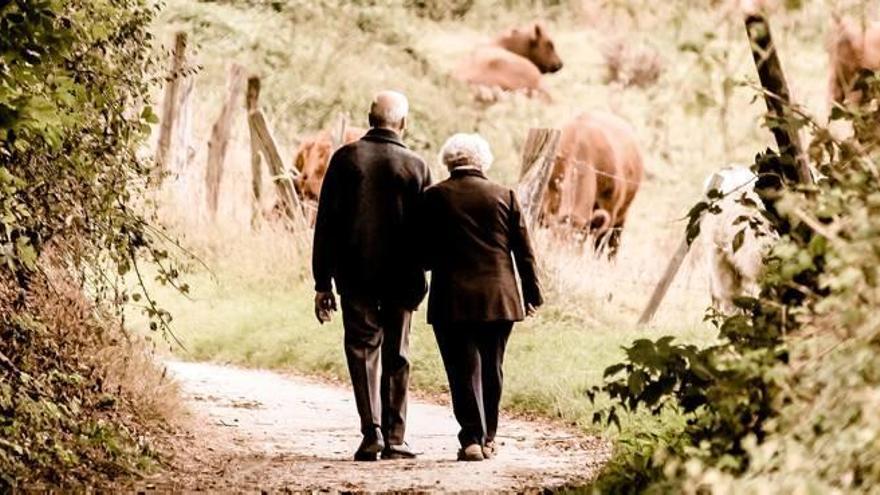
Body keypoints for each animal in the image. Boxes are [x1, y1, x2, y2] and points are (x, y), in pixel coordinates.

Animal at [540, 112, 644, 258]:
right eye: (552, 244)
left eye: (577, 246)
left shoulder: (610, 209)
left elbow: (599, 246)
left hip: (622, 215)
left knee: (613, 245)